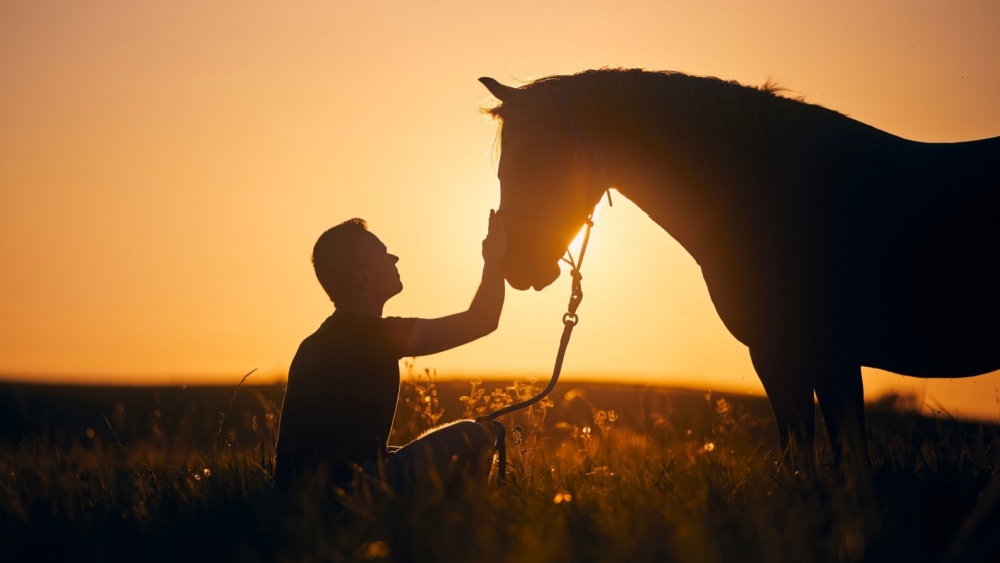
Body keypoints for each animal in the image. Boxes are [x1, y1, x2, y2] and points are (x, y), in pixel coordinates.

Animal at [478, 68, 1000, 467]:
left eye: (531, 156)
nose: (515, 265)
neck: (772, 194)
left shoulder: (827, 355)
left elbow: (845, 459)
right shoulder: (779, 355)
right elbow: (803, 453)